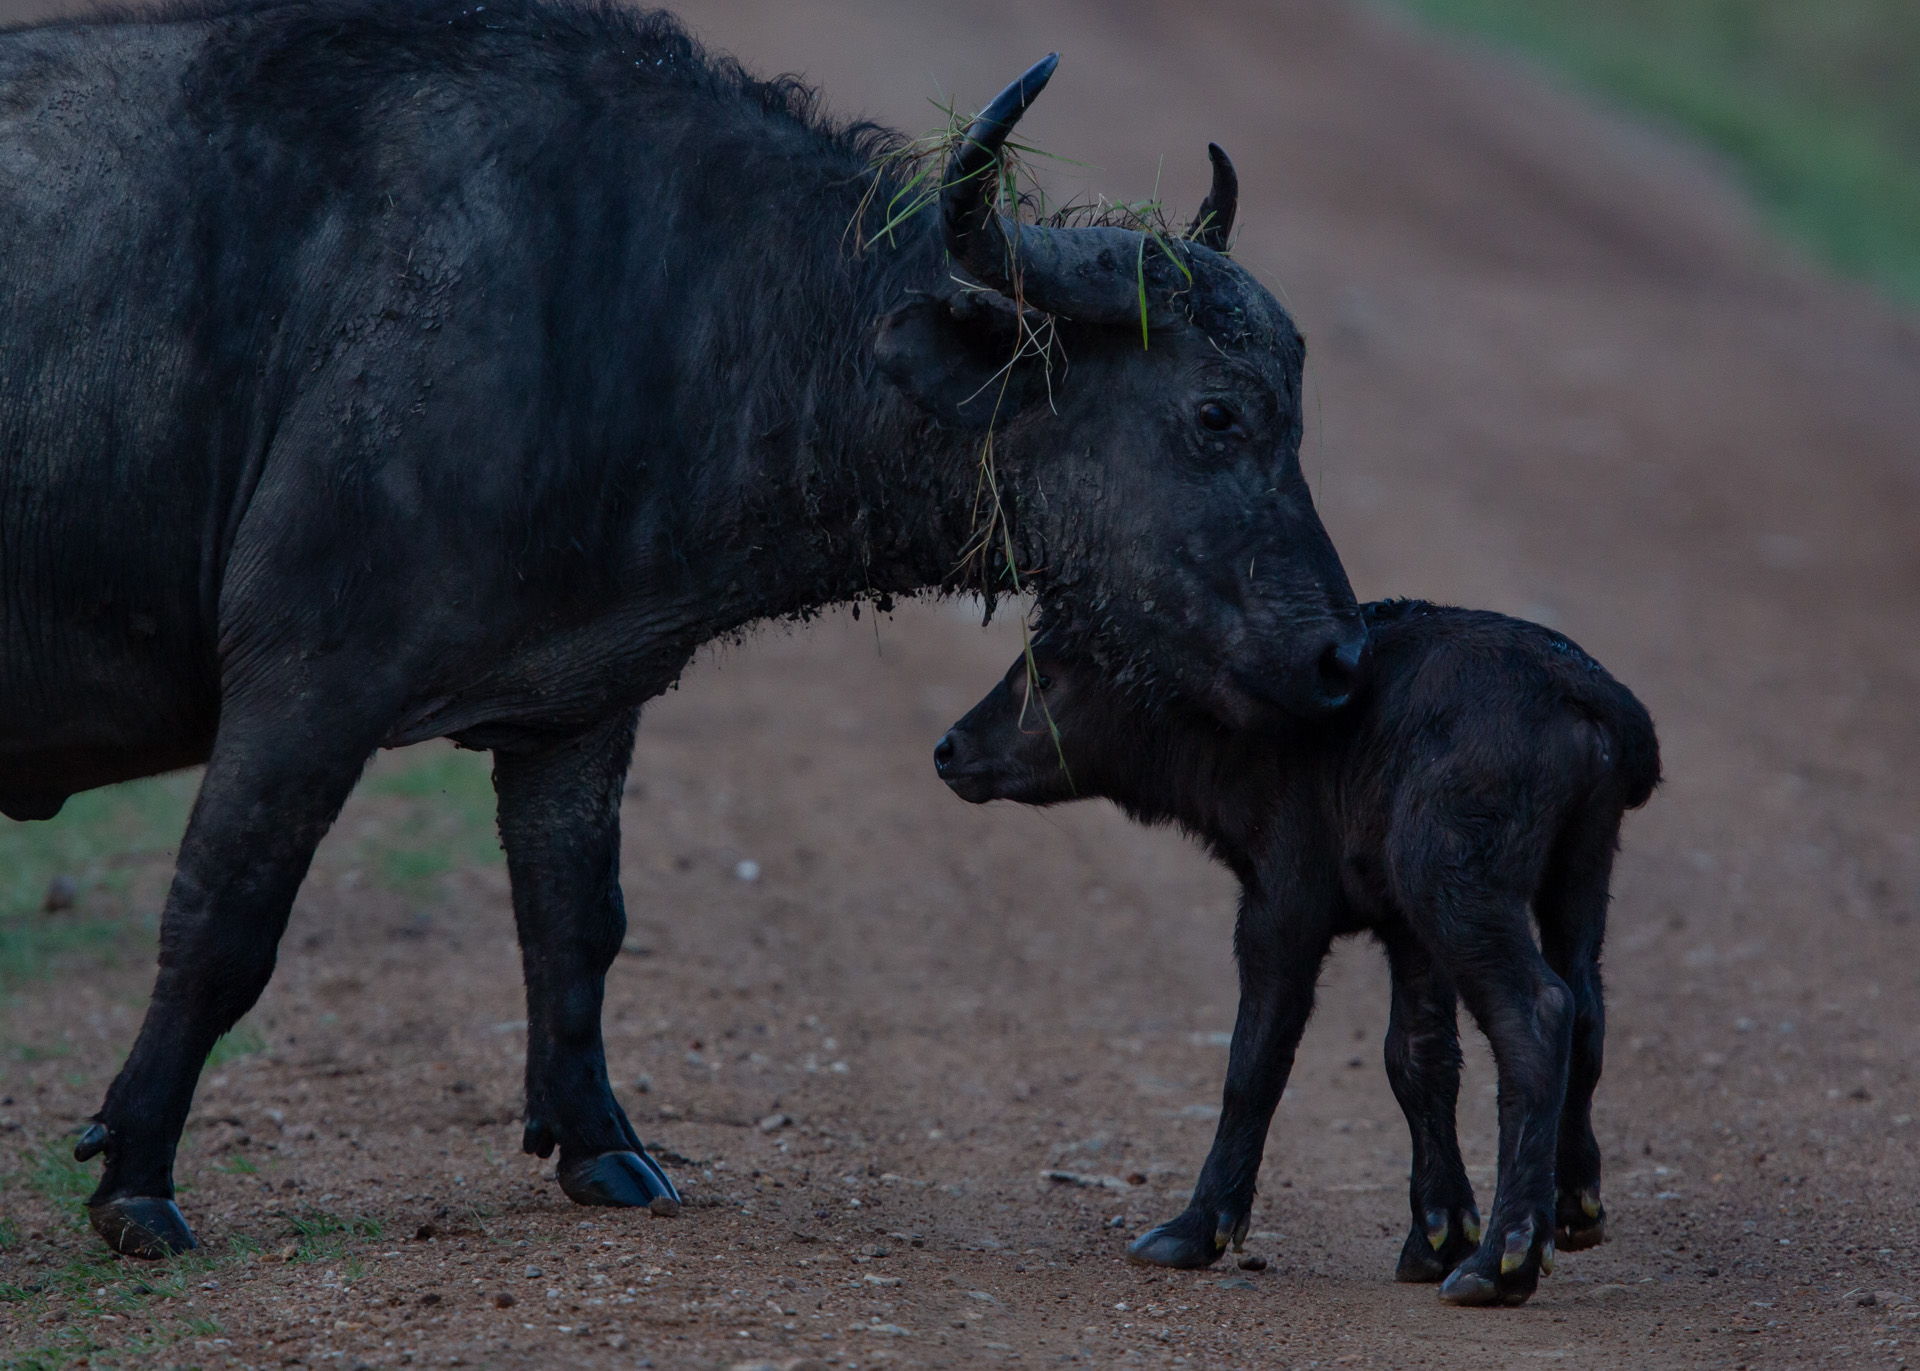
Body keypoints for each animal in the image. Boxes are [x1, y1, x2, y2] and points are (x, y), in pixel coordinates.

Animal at [0, 0, 1367, 1251]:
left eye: (1295, 413)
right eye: (1216, 416)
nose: (1340, 655)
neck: (645, 298)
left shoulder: (577, 703)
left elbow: (577, 922)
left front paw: (601, 1146)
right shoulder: (307, 682)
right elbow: (222, 923)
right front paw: (135, 1178)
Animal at [936, 599, 1658, 1305]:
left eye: (1045, 678)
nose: (948, 749)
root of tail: (1590, 697)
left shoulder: (1284, 903)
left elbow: (1255, 1059)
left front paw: (1196, 1229)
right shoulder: (1405, 926)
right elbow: (1418, 1056)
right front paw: (1437, 1236)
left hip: (1457, 881)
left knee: (1538, 1012)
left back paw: (1502, 1260)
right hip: (1575, 869)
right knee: (1586, 1009)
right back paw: (1574, 1207)